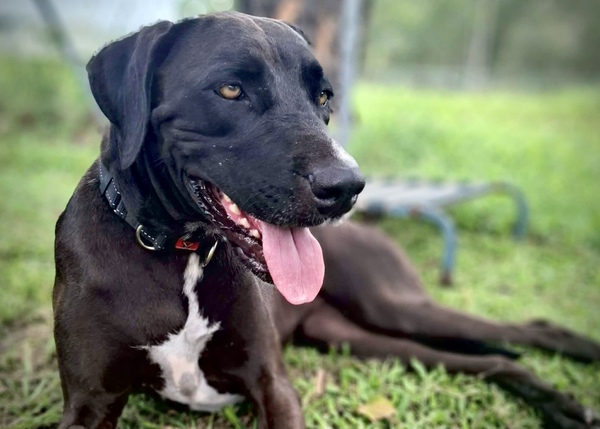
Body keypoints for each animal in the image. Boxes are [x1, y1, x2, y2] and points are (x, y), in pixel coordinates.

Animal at [53, 12, 363, 429]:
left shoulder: (272, 382)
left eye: (323, 96)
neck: (181, 250)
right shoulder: (89, 400)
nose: (347, 187)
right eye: (231, 90)